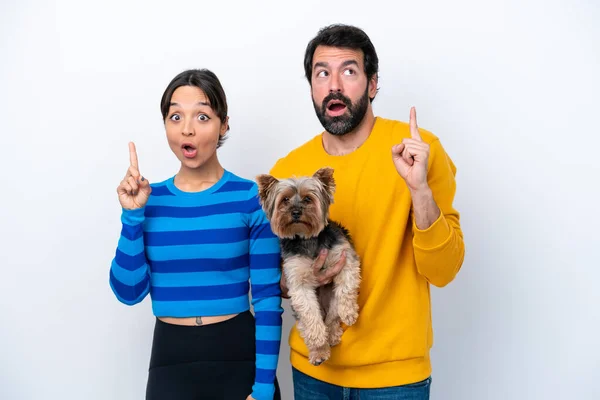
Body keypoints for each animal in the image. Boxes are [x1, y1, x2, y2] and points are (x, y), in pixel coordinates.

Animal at [254, 166, 360, 366]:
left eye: (308, 199)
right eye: (285, 200)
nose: (296, 212)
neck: (307, 238)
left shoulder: (344, 258)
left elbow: (346, 287)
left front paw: (349, 312)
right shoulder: (297, 280)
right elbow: (310, 312)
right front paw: (318, 338)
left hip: (331, 300)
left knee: (332, 317)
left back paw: (332, 334)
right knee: (308, 322)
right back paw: (319, 352)